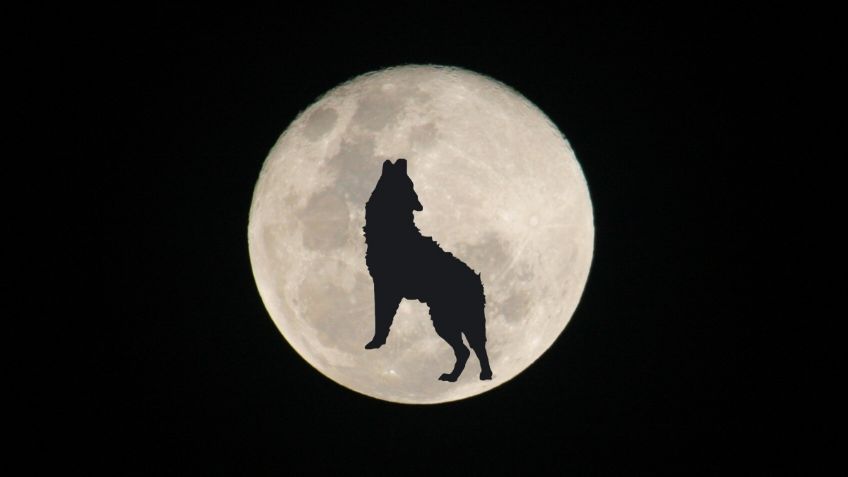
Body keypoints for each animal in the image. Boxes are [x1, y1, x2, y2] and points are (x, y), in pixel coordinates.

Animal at [362, 158, 492, 382]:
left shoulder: (385, 287)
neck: (392, 225)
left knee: (468, 350)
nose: (401, 160)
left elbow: (381, 319)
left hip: (445, 320)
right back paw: (465, 376)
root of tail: (478, 283)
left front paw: (375, 343)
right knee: (471, 349)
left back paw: (467, 376)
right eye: (410, 185)